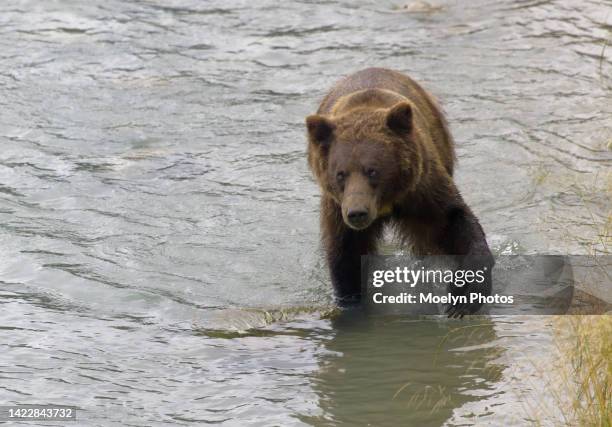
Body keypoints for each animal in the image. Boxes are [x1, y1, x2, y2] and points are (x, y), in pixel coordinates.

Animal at [306, 67, 492, 318]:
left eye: (372, 170)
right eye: (340, 174)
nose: (357, 213)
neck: (387, 202)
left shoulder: (422, 189)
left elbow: (453, 219)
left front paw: (462, 297)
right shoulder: (337, 208)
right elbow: (346, 256)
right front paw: (350, 304)